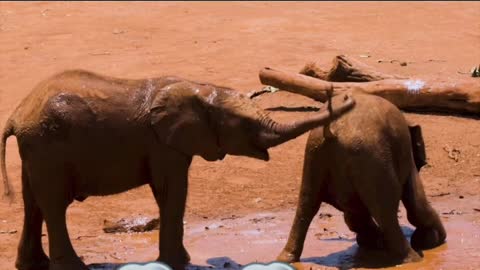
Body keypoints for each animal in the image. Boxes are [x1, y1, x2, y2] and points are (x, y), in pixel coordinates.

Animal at [278, 92, 446, 264]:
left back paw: (286, 258)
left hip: (315, 153)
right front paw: (432, 240)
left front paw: (373, 242)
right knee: (386, 210)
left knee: (306, 205)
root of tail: (332, 129)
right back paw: (413, 259)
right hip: (371, 157)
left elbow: (353, 214)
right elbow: (416, 203)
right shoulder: (405, 156)